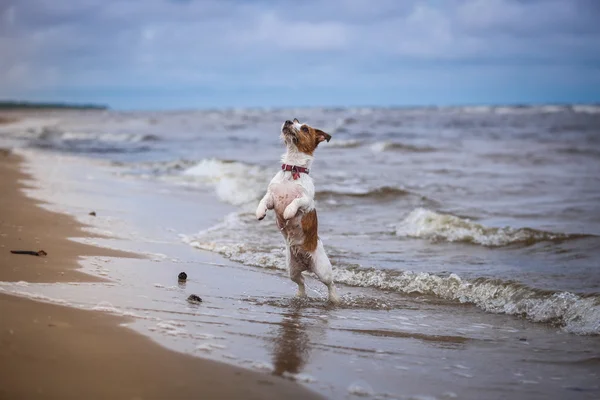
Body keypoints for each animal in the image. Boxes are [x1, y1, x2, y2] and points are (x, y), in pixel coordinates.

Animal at [255, 119, 340, 304]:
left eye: (305, 128)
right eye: (295, 121)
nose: (287, 121)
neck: (292, 168)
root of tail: (305, 264)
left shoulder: (307, 201)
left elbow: (296, 201)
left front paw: (288, 212)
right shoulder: (272, 197)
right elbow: (263, 200)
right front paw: (259, 212)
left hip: (322, 269)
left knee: (330, 284)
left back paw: (334, 299)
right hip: (292, 270)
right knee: (301, 282)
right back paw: (300, 296)